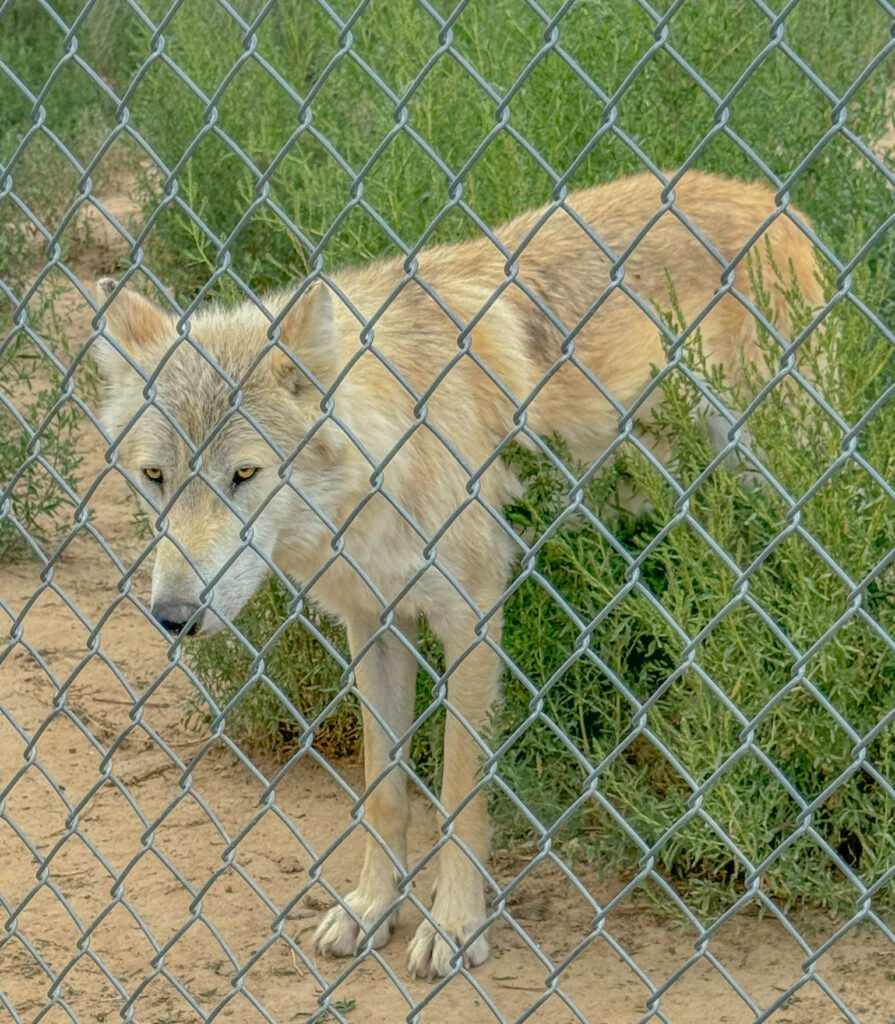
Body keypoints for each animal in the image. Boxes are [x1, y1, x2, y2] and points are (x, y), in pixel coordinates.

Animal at [92, 172, 823, 978]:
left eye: (244, 474)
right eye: (155, 476)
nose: (172, 616)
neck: (386, 468)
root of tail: (766, 196)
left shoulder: (472, 621)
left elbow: (457, 793)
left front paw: (455, 925)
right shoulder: (375, 626)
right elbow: (385, 794)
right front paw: (371, 909)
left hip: (768, 485)